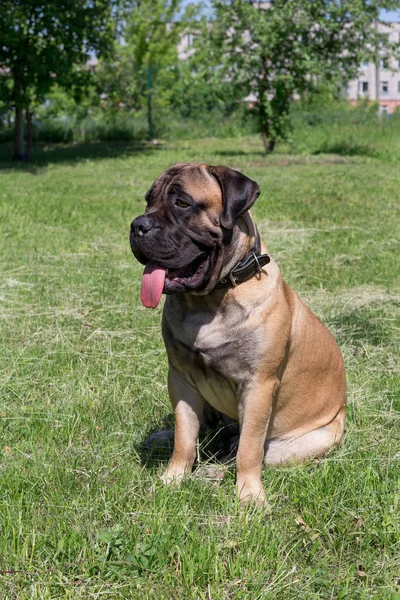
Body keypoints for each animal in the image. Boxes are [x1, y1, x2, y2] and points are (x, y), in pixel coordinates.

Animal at [130, 162, 346, 504]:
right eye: (149, 201)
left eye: (182, 203)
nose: (138, 225)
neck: (209, 302)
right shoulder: (180, 378)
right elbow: (185, 435)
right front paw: (172, 478)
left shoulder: (258, 385)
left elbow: (249, 448)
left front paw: (249, 496)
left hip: (299, 443)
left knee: (247, 449)